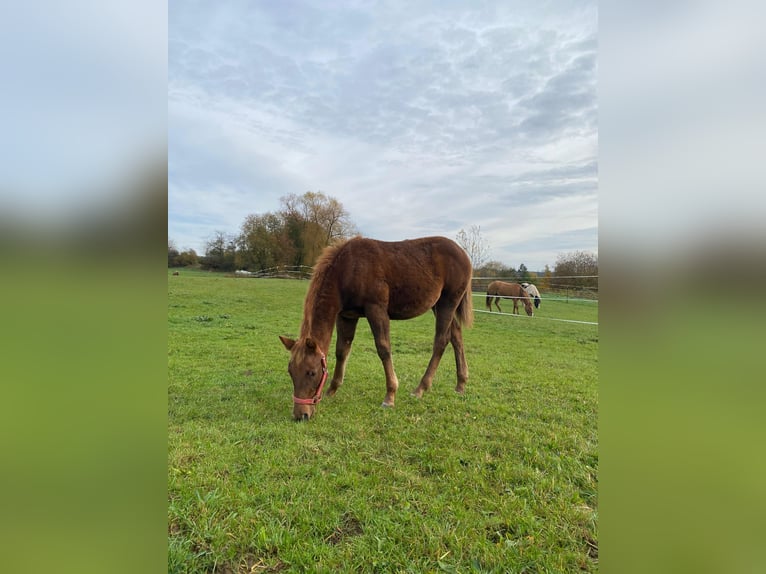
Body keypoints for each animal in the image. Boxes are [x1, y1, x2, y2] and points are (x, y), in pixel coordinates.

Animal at [280, 236, 474, 420]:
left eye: (312, 373)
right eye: (290, 372)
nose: (301, 415)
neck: (347, 268)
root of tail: (464, 254)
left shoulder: (376, 309)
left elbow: (383, 348)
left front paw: (390, 396)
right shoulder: (346, 316)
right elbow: (342, 350)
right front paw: (332, 390)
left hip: (447, 303)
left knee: (441, 341)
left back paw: (420, 388)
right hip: (438, 306)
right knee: (456, 337)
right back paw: (461, 384)